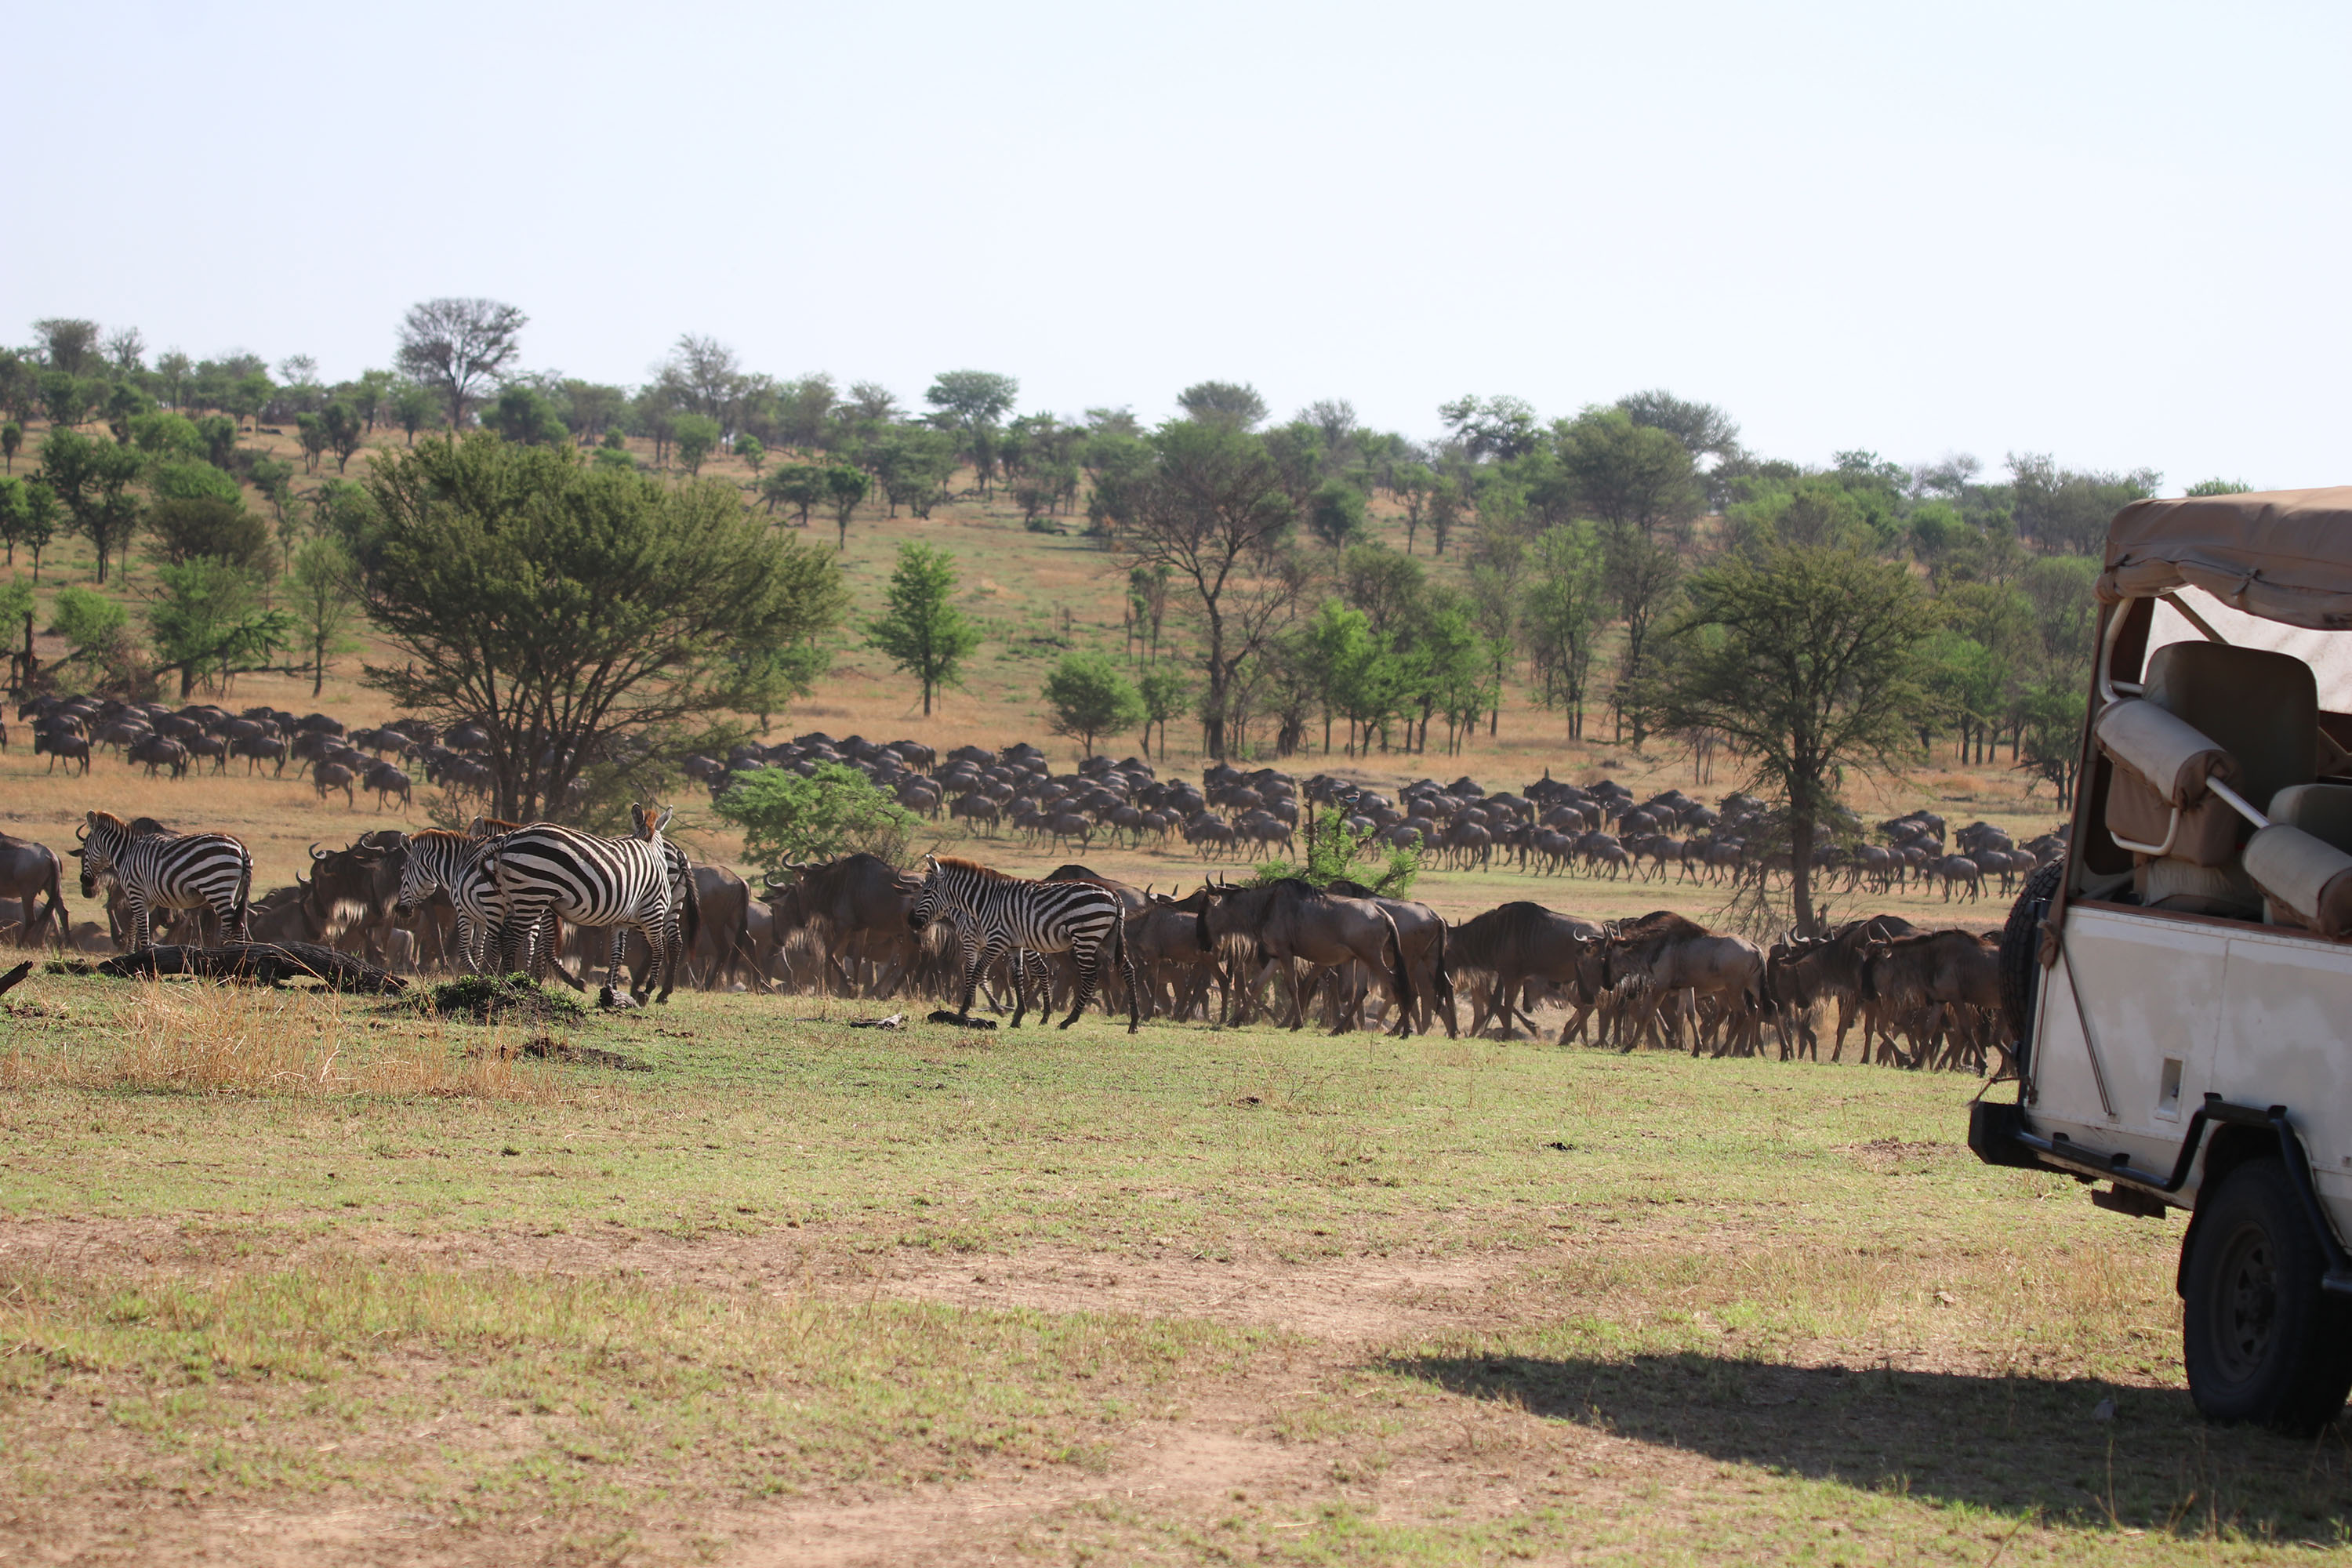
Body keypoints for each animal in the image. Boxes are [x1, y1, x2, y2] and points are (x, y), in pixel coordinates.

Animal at [72, 809, 252, 950]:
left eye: (85, 849)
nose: (85, 882)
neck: (126, 852)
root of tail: (241, 846)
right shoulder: (148, 899)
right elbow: (136, 926)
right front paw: (131, 952)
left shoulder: (135, 891)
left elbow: (142, 930)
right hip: (233, 893)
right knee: (236, 926)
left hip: (217, 887)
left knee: (233, 925)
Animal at [488, 805, 695, 1005]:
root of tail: (510, 837)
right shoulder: (652, 910)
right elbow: (656, 947)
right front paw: (646, 990)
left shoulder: (625, 919)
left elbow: (618, 953)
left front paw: (612, 991)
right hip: (532, 895)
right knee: (510, 938)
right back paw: (512, 983)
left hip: (517, 897)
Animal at [907, 854, 1138, 1032]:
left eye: (926, 892)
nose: (912, 922)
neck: (984, 902)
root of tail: (1113, 894)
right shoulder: (1013, 944)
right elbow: (1016, 976)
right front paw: (1017, 1016)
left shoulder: (995, 940)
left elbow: (977, 972)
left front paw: (963, 1011)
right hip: (1107, 939)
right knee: (1128, 969)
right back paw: (1134, 1022)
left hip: (1085, 936)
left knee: (1090, 977)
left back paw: (1068, 1021)